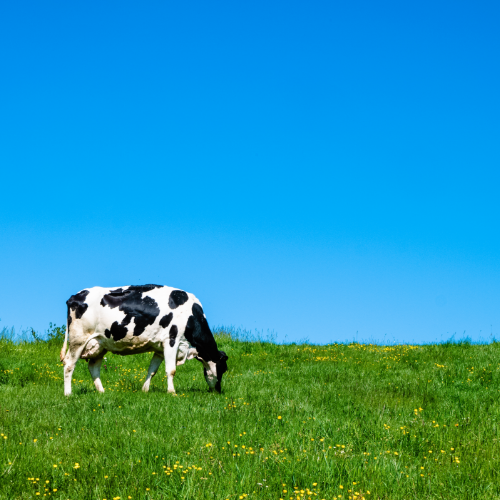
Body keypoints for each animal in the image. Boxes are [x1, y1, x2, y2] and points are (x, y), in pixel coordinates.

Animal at [60, 288, 229, 396]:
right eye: (224, 368)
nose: (218, 391)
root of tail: (75, 296)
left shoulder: (159, 349)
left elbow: (152, 370)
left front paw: (145, 390)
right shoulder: (171, 340)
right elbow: (171, 370)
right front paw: (172, 392)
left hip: (99, 344)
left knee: (93, 367)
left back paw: (102, 392)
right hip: (78, 340)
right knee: (69, 365)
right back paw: (68, 394)